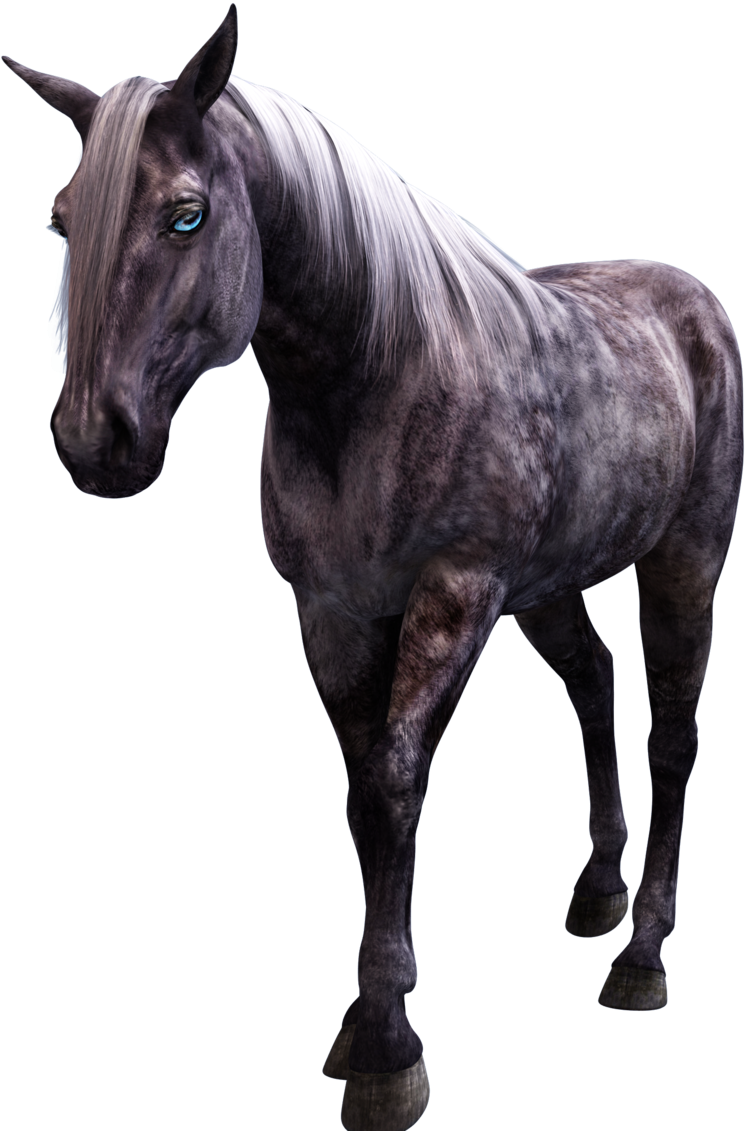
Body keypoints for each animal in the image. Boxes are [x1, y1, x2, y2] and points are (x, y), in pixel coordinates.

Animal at [4, 5, 742, 1128]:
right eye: (59, 222)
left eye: (187, 217)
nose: (96, 443)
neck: (375, 381)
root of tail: (687, 297)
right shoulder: (333, 609)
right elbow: (359, 790)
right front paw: (362, 1029)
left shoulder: (454, 594)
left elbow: (396, 781)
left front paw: (390, 1051)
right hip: (549, 588)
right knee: (595, 687)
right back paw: (596, 893)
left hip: (680, 562)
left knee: (670, 732)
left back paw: (642, 955)